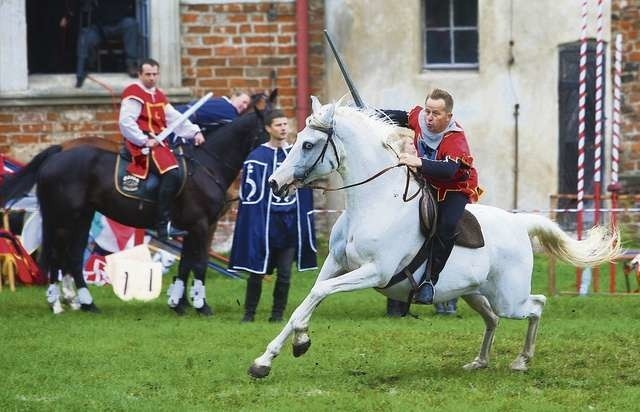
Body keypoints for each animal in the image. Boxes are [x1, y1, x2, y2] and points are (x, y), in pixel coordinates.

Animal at [1, 90, 278, 314]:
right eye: (271, 129)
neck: (208, 164)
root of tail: (58, 153)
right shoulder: (202, 225)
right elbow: (198, 264)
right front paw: (200, 305)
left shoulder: (194, 227)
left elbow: (186, 264)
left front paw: (179, 303)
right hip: (61, 218)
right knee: (54, 256)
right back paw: (57, 302)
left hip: (82, 217)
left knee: (73, 257)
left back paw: (86, 303)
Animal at [249, 96, 620, 376]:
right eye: (296, 139)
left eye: (308, 144)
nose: (275, 184)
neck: (373, 202)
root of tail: (520, 224)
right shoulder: (336, 264)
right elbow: (308, 300)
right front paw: (266, 359)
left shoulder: (374, 272)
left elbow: (319, 293)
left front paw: (300, 342)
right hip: (473, 293)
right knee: (493, 319)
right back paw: (480, 361)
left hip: (509, 297)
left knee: (537, 306)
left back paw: (521, 360)